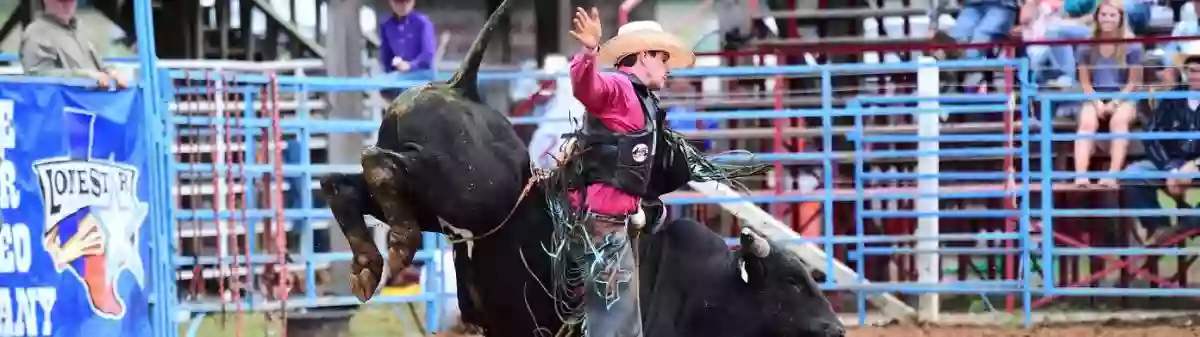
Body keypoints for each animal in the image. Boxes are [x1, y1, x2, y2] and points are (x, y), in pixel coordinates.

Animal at [319, 1, 844, 333]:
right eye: (792, 281)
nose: (835, 328)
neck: (709, 286)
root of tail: (459, 85)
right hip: (461, 184)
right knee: (380, 163)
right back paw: (394, 247)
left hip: (437, 201)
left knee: (345, 182)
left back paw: (369, 261)